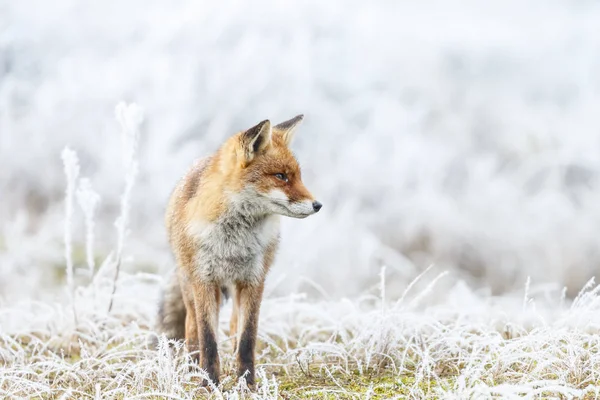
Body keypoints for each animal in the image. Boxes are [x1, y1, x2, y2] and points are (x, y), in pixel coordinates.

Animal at [157, 115, 322, 388]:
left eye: (298, 176)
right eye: (281, 176)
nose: (317, 205)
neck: (232, 242)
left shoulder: (253, 280)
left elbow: (247, 338)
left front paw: (247, 383)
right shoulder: (204, 281)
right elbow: (208, 338)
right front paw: (209, 382)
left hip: (236, 288)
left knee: (234, 325)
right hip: (189, 285)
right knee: (192, 327)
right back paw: (192, 367)